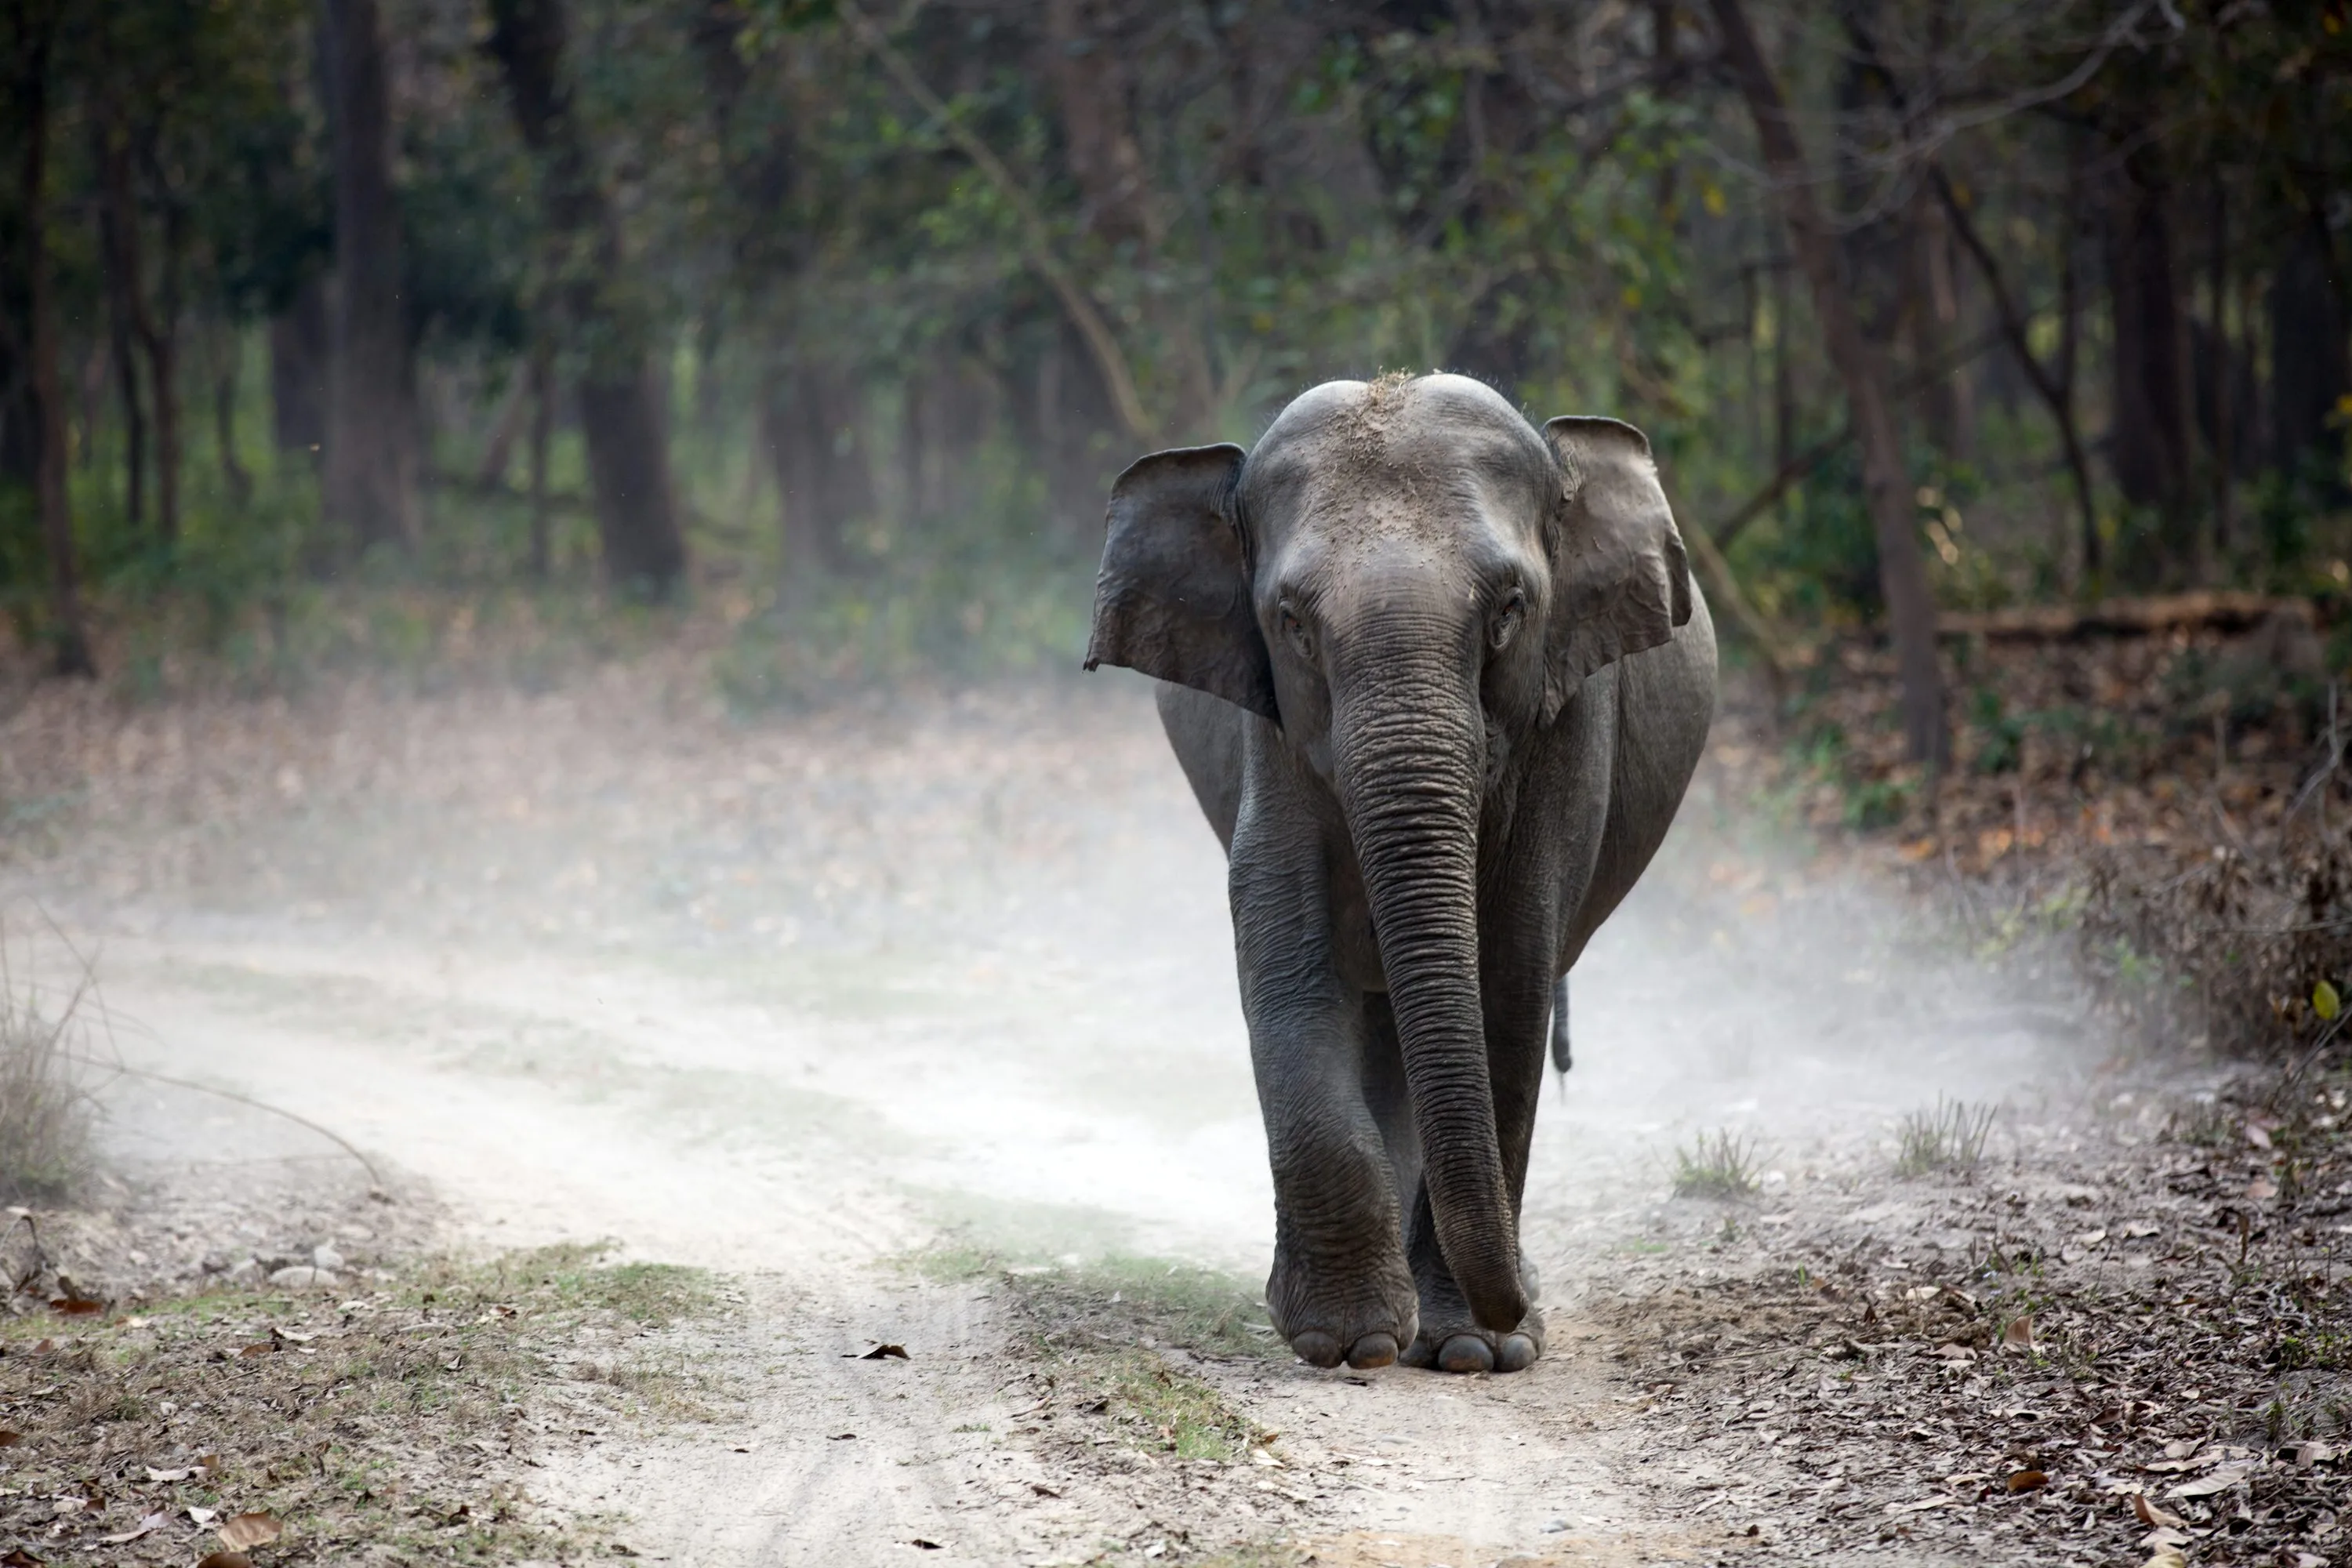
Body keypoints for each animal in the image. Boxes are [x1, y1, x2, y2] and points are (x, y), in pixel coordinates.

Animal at [1083, 372, 1717, 1375]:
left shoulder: (1568, 716)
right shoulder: (1273, 732)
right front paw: (1351, 1341)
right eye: (1291, 622)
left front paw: (1471, 1350)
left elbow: (1510, 971)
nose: (1516, 1308)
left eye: (1509, 609)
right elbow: (1286, 951)